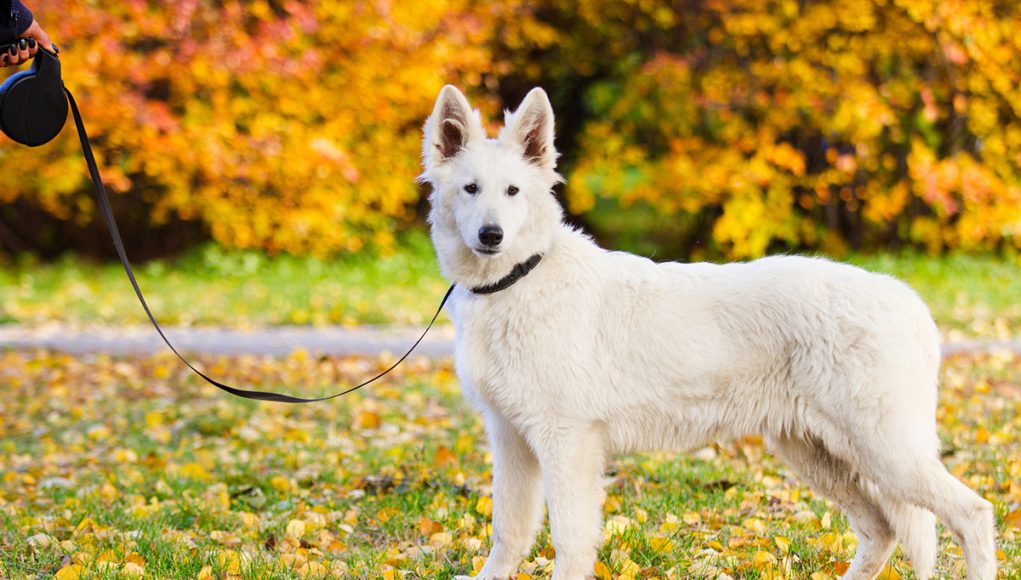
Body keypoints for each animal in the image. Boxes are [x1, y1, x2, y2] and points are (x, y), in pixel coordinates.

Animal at [420, 86, 996, 580]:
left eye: (513, 191)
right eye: (470, 189)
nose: (491, 235)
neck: (520, 279)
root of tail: (908, 302)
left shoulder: (567, 442)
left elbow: (569, 540)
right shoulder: (511, 439)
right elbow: (509, 532)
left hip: (886, 452)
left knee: (972, 513)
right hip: (818, 455)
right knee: (882, 531)